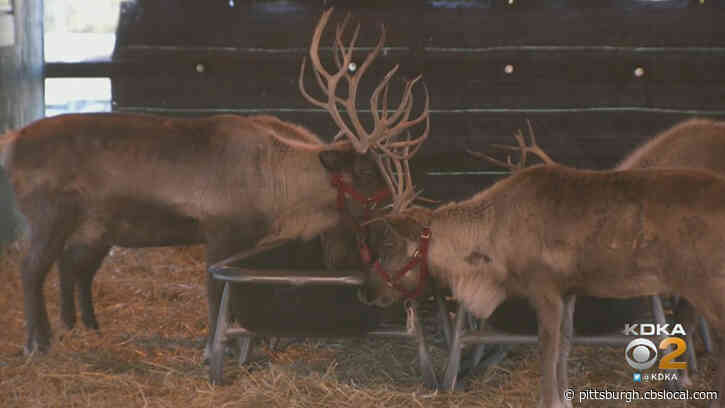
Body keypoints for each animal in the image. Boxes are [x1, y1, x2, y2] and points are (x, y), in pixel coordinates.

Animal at [0, 8, 430, 358]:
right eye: (366, 173)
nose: (396, 211)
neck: (279, 186)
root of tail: (14, 140)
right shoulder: (221, 232)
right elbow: (214, 294)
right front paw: (213, 349)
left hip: (92, 227)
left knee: (72, 267)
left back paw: (82, 328)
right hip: (50, 216)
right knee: (32, 268)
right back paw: (38, 343)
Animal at [359, 138, 725, 407]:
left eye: (388, 245)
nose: (366, 291)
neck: (492, 239)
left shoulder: (544, 289)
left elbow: (546, 350)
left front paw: (550, 401)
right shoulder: (569, 290)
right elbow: (564, 347)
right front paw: (566, 400)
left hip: (707, 287)